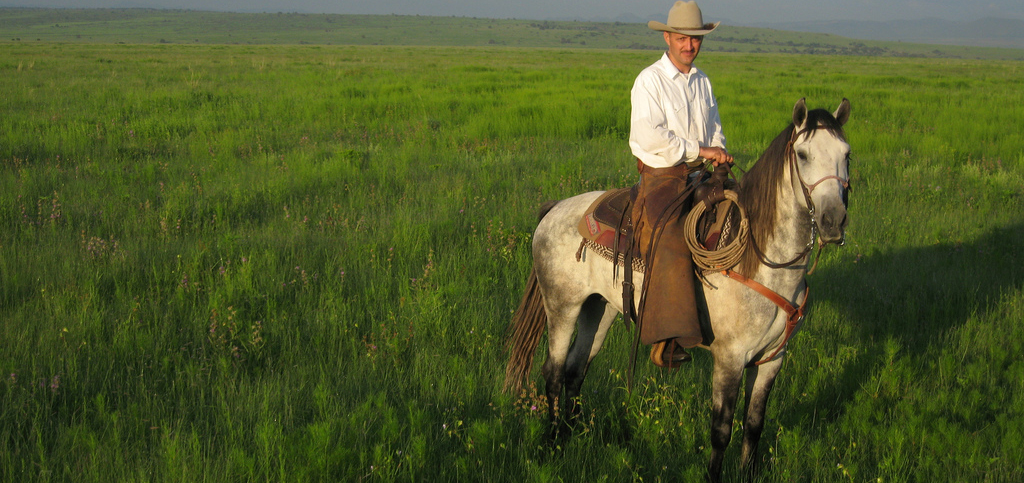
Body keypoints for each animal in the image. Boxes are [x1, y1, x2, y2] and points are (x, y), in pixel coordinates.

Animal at [503, 99, 847, 483]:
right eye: (802, 154)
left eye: (846, 154)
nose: (833, 221)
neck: (760, 260)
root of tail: (555, 210)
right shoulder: (730, 359)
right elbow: (721, 430)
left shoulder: (772, 358)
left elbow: (755, 423)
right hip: (562, 307)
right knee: (553, 370)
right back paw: (554, 443)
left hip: (599, 310)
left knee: (576, 368)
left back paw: (575, 434)